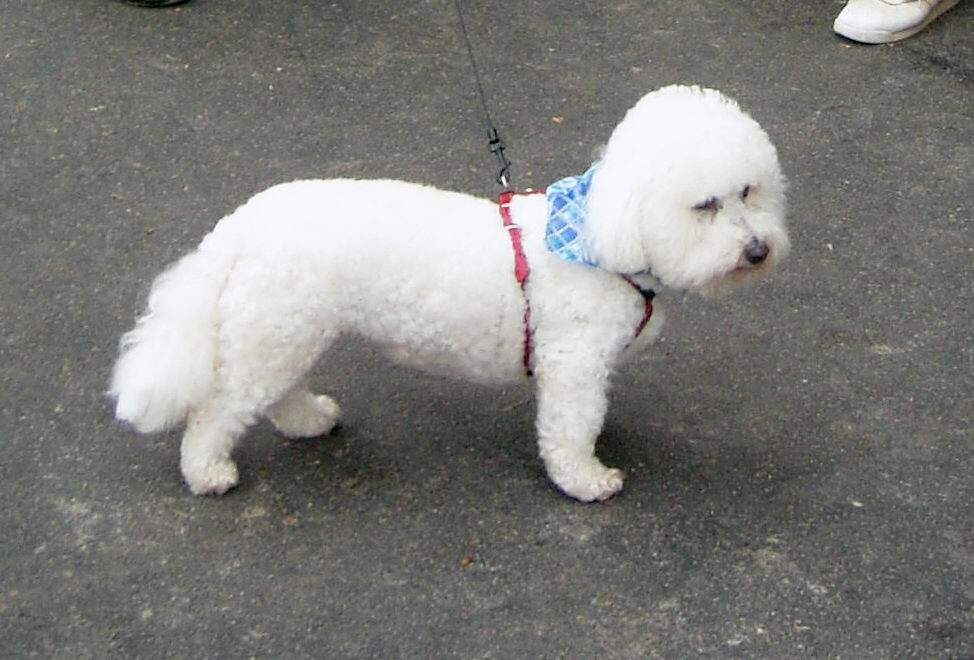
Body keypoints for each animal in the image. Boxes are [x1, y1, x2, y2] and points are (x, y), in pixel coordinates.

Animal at [109, 85, 789, 502]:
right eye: (705, 205)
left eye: (749, 191)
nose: (758, 251)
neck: (600, 235)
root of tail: (240, 224)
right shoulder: (571, 363)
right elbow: (569, 428)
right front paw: (585, 479)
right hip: (276, 326)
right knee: (219, 410)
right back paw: (207, 471)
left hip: (285, 328)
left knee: (272, 393)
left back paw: (307, 419)